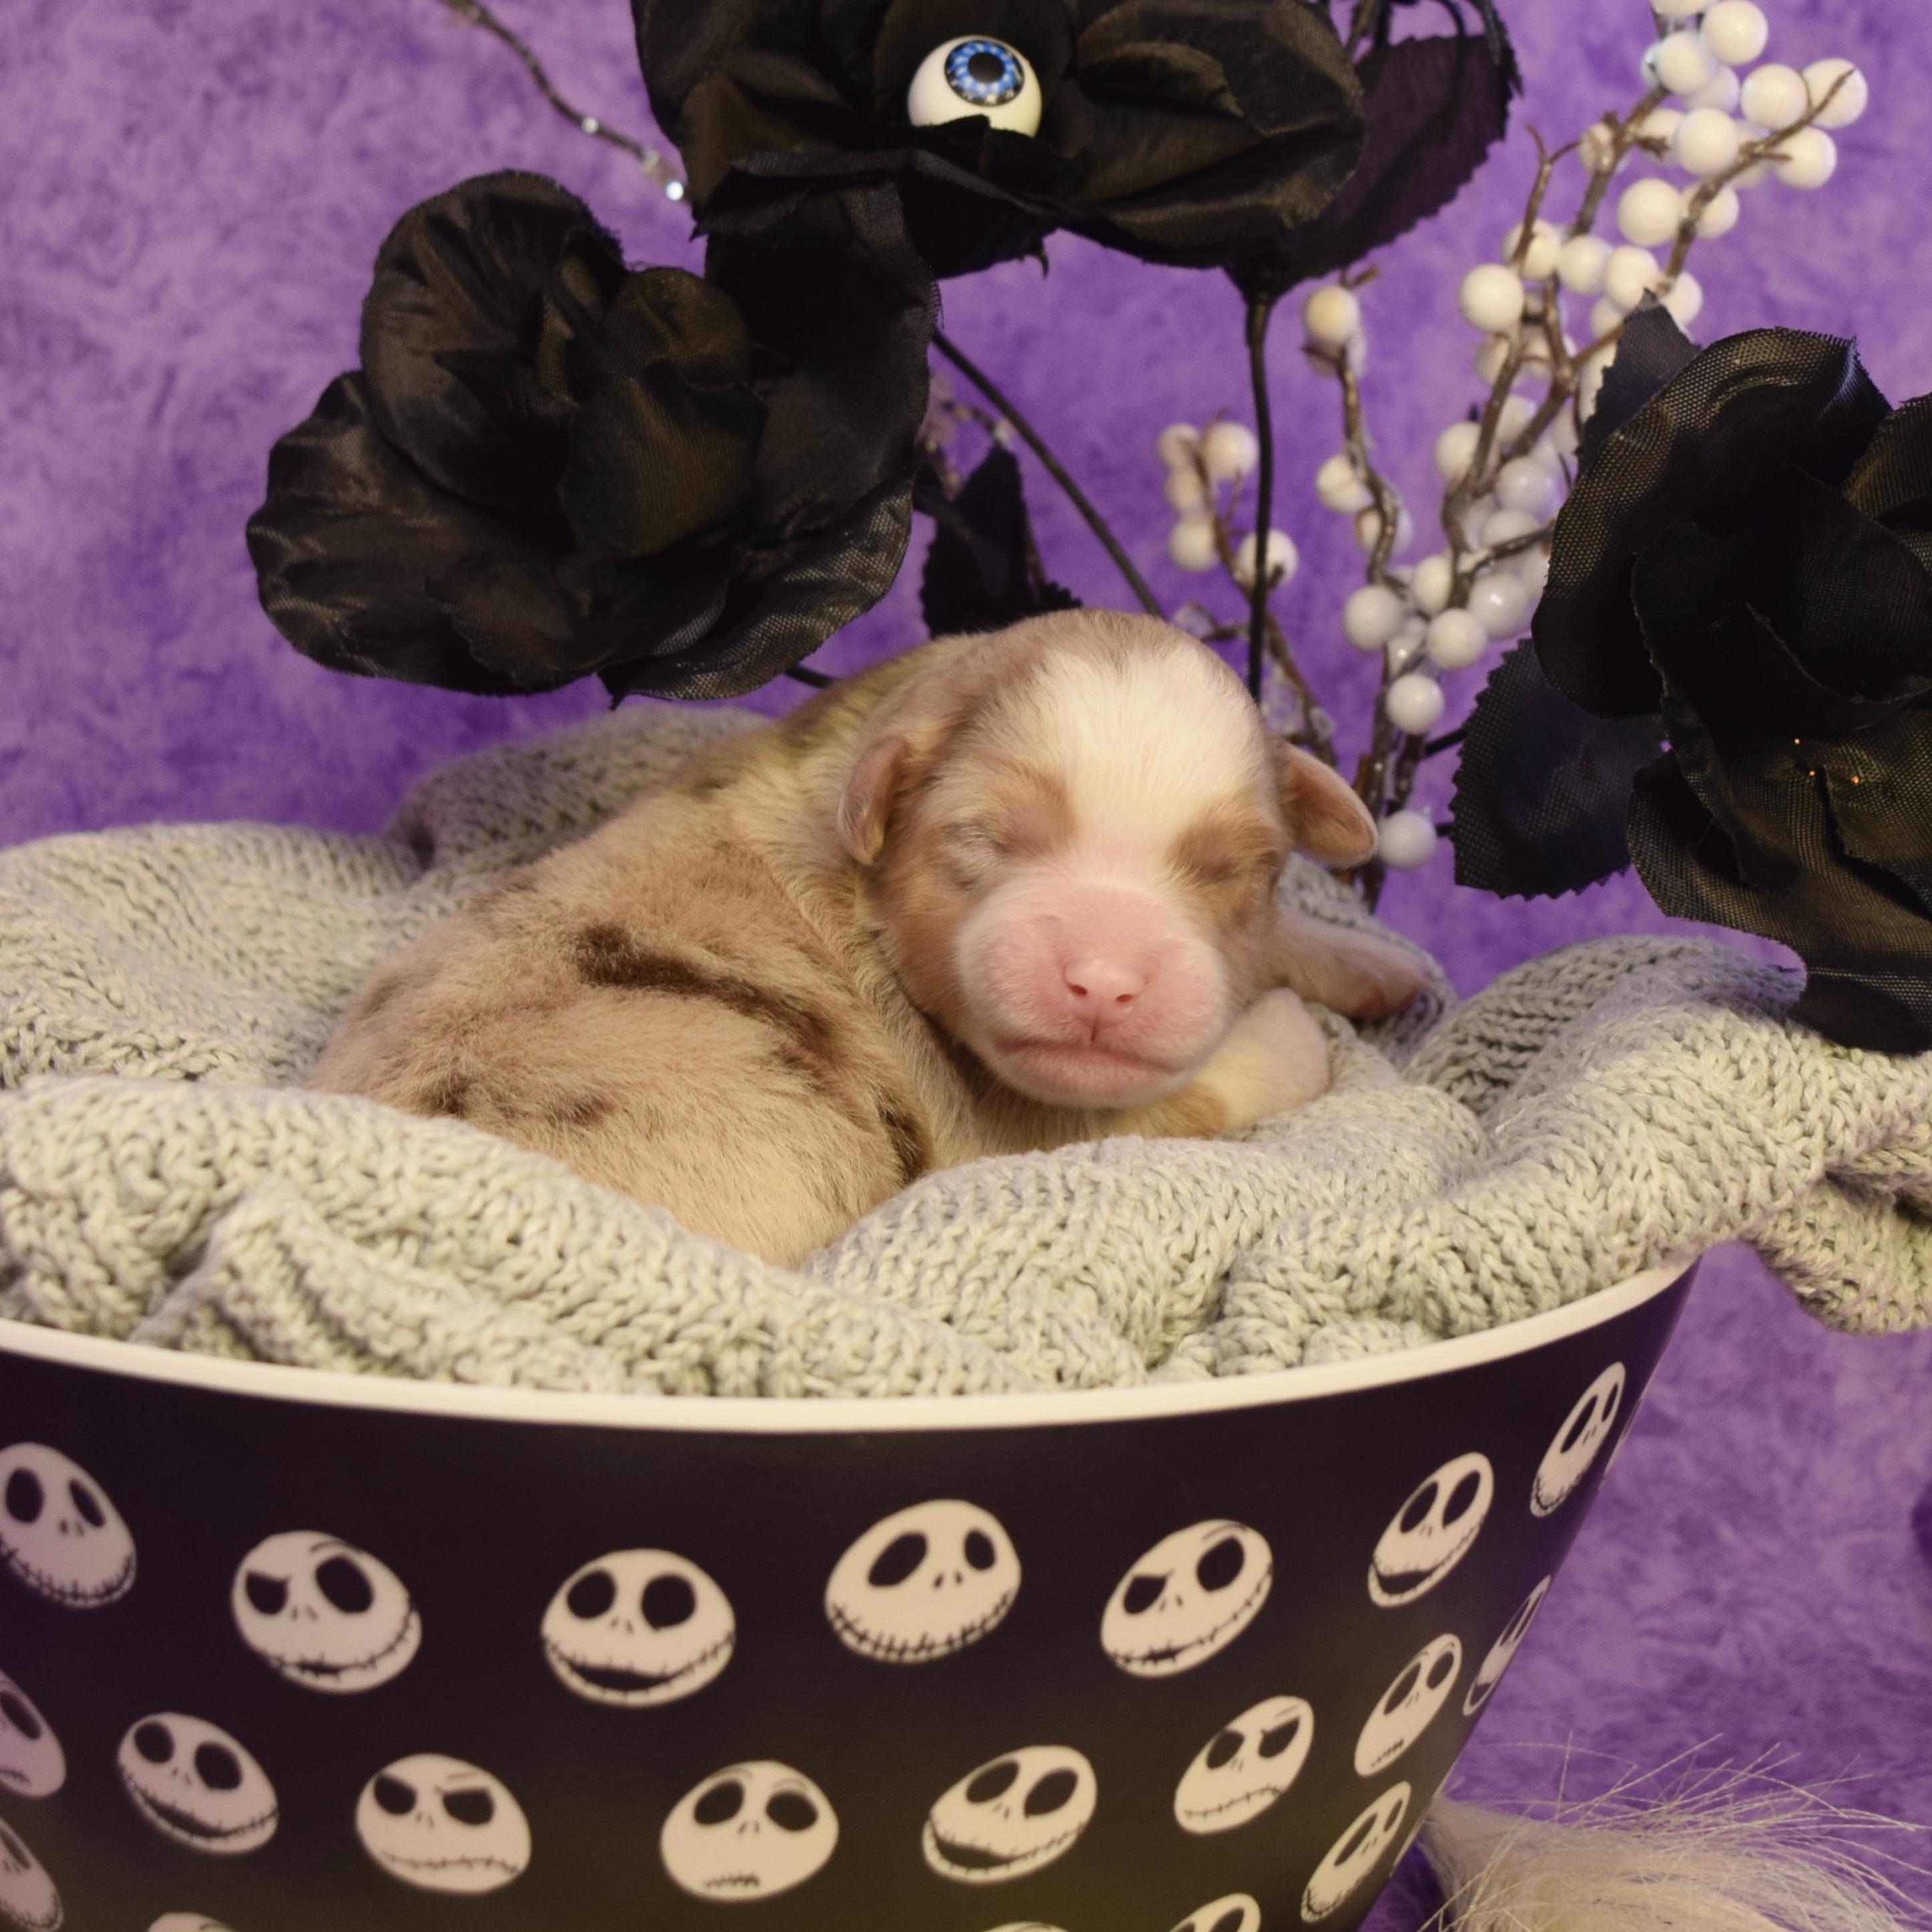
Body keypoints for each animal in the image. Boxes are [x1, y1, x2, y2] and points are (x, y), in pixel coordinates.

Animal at [310, 611, 1429, 1266]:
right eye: (985, 839)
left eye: (1231, 872)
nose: (1104, 983)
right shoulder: (1024, 1126)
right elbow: (1209, 1080)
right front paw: (1297, 1030)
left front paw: (1377, 963)